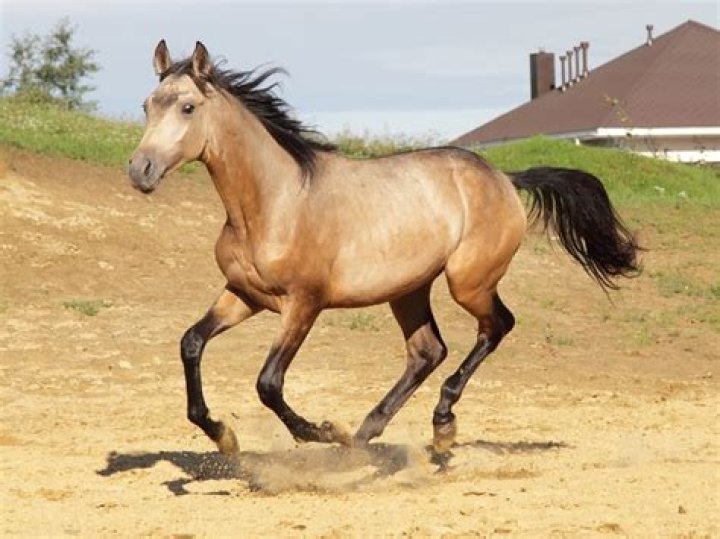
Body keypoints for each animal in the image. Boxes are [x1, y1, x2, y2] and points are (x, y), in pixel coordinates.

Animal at [128, 40, 640, 457]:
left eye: (188, 107)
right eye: (147, 105)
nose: (140, 169)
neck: (274, 202)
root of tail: (503, 178)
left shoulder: (304, 304)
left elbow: (268, 383)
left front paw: (322, 432)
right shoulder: (244, 295)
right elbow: (191, 343)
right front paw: (223, 436)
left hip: (468, 282)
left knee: (496, 327)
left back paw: (437, 424)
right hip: (408, 290)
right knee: (427, 351)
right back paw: (370, 433)